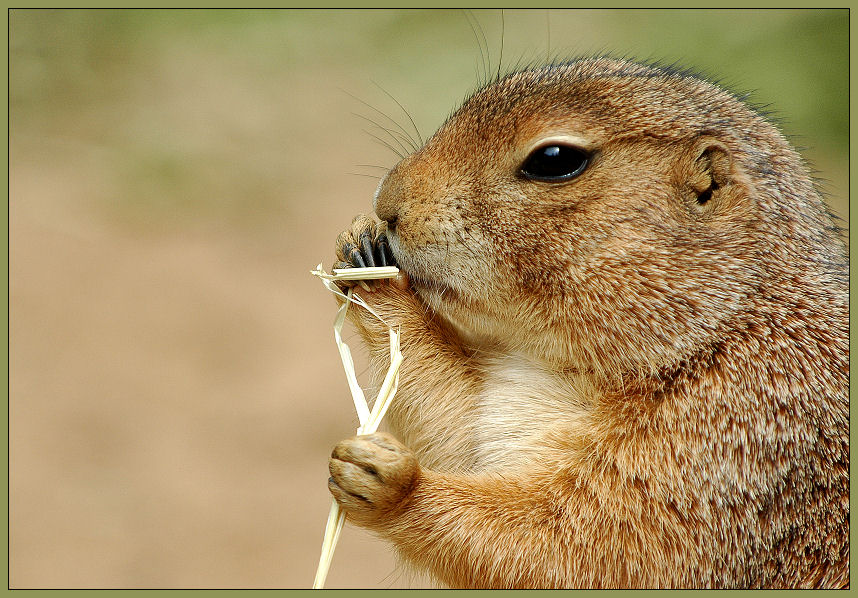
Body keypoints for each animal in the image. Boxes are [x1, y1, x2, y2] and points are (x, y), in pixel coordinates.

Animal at [324, 57, 844, 592]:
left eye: (554, 159)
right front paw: (367, 259)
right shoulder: (505, 409)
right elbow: (457, 421)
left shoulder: (721, 450)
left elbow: (576, 546)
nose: (386, 202)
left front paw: (390, 480)